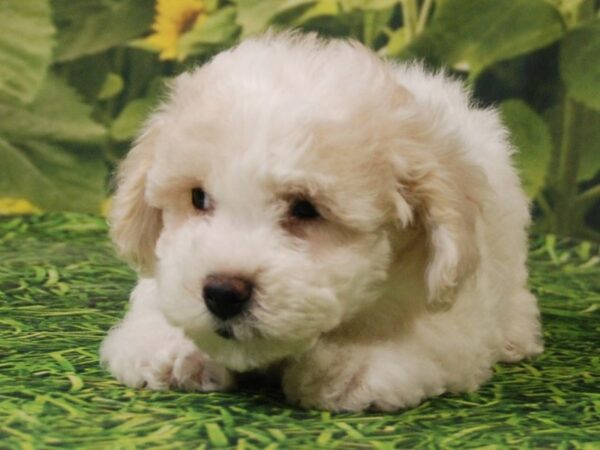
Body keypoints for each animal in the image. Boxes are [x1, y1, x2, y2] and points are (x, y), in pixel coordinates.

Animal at [102, 31, 544, 412]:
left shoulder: (455, 310)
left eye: (305, 209)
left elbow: (420, 335)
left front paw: (352, 366)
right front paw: (173, 349)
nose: (223, 293)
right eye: (198, 197)